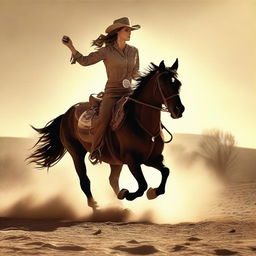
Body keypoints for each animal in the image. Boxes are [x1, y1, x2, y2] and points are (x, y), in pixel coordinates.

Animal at [27, 59, 184, 209]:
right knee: (85, 180)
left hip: (115, 161)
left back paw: (121, 206)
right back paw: (95, 205)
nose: (179, 109)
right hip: (76, 153)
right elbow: (142, 185)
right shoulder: (132, 160)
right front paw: (128, 194)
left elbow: (166, 171)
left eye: (178, 84)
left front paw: (152, 192)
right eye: (163, 83)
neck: (140, 124)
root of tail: (66, 114)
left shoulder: (152, 158)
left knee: (112, 180)